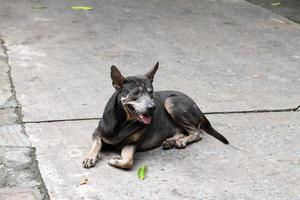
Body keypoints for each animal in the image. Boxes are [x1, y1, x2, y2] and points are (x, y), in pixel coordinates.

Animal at [83, 62, 229, 169]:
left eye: (151, 92)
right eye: (136, 93)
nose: (152, 107)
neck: (123, 121)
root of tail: (198, 108)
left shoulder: (132, 143)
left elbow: (128, 161)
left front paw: (115, 161)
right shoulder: (97, 133)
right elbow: (97, 143)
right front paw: (91, 157)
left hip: (171, 102)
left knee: (197, 132)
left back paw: (181, 141)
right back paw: (171, 141)